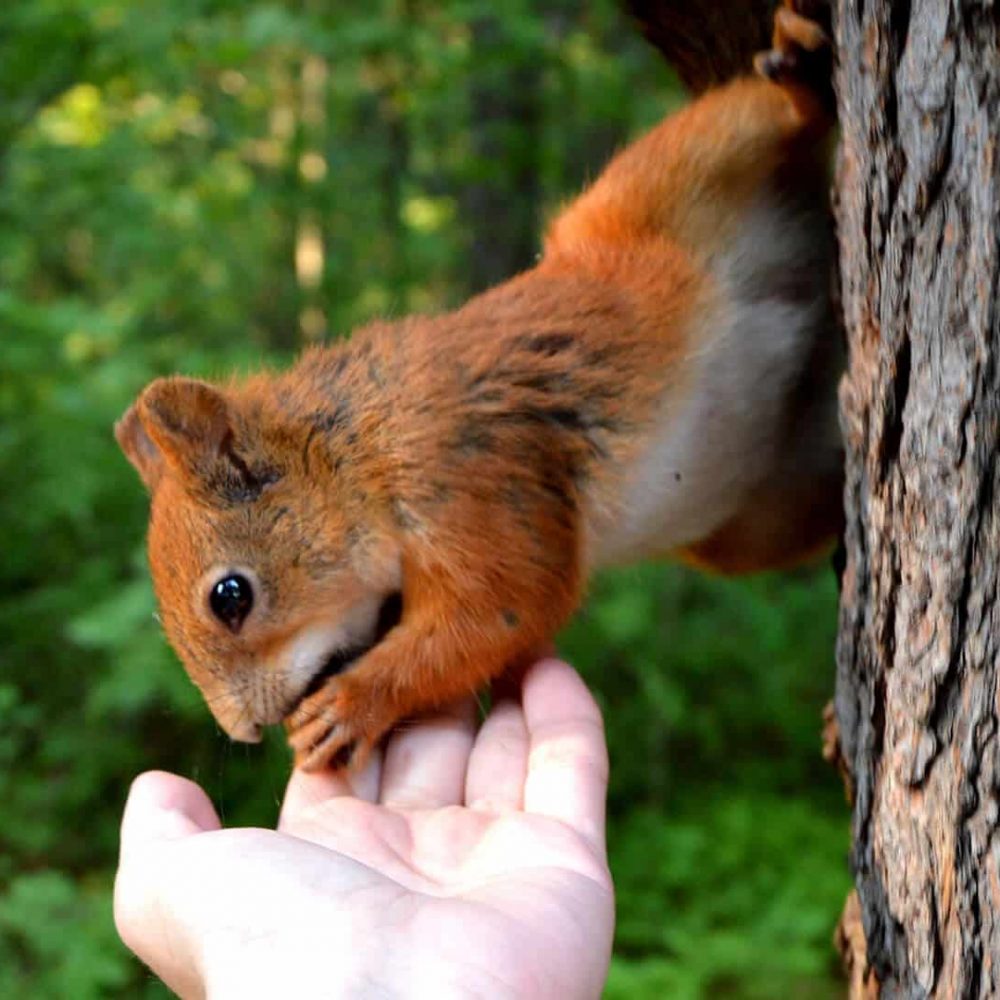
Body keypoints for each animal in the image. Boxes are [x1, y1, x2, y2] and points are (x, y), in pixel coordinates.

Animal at [113, 0, 840, 772]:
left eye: (230, 597)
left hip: (673, 172)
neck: (359, 449)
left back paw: (796, 71)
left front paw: (350, 705)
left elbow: (502, 606)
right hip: (758, 515)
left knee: (766, 115)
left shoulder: (465, 473)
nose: (245, 730)